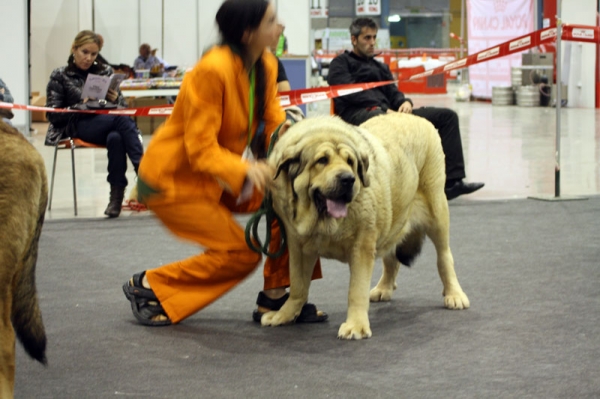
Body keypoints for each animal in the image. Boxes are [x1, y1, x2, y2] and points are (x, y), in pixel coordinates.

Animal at [262, 115, 468, 340]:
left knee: (444, 257)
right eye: (322, 160)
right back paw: (384, 288)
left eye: (350, 162)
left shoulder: (361, 247)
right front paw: (284, 314)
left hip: (436, 211)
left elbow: (356, 290)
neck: (323, 222)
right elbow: (298, 285)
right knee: (391, 260)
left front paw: (356, 325)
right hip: (392, 220)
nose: (348, 179)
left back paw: (454, 294)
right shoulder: (298, 246)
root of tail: (417, 117)